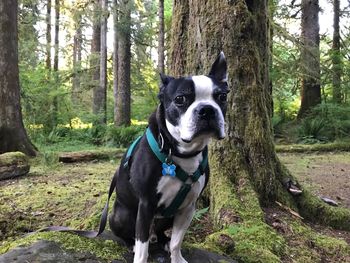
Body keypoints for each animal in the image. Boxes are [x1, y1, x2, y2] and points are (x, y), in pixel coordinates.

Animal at [110, 52, 230, 262]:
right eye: (180, 99)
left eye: (222, 97)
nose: (207, 109)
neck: (183, 152)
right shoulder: (146, 205)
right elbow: (142, 248)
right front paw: (139, 254)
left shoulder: (189, 206)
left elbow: (177, 241)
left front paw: (176, 257)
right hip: (120, 216)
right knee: (132, 235)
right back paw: (131, 243)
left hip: (168, 217)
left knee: (160, 234)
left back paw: (163, 241)